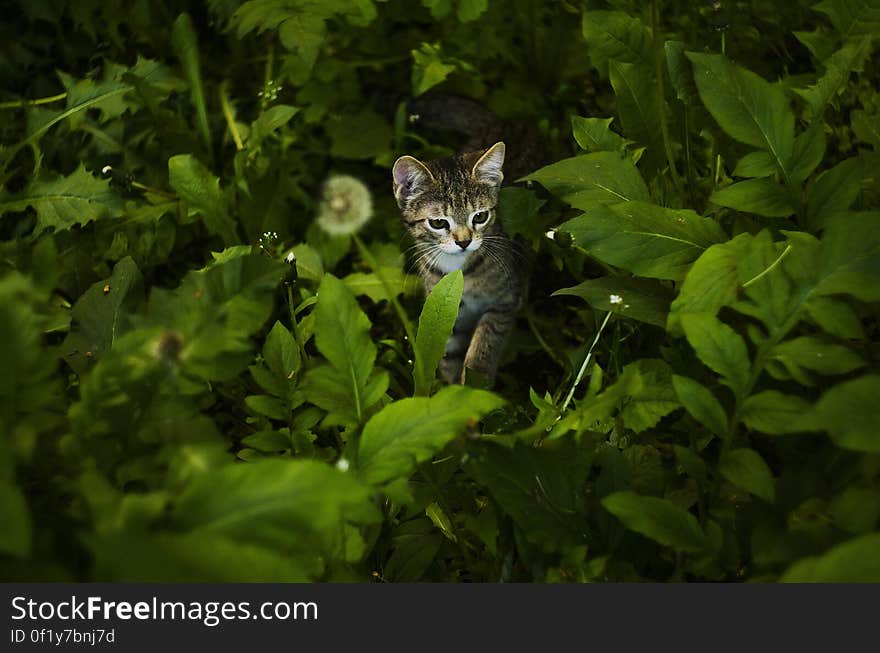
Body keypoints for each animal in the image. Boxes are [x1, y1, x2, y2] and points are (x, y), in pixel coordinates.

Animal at [392, 141, 524, 388]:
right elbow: (447, 354)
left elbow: (485, 343)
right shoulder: (446, 309)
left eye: (480, 217)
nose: (464, 241)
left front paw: (475, 383)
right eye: (438, 223)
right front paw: (454, 390)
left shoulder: (505, 302)